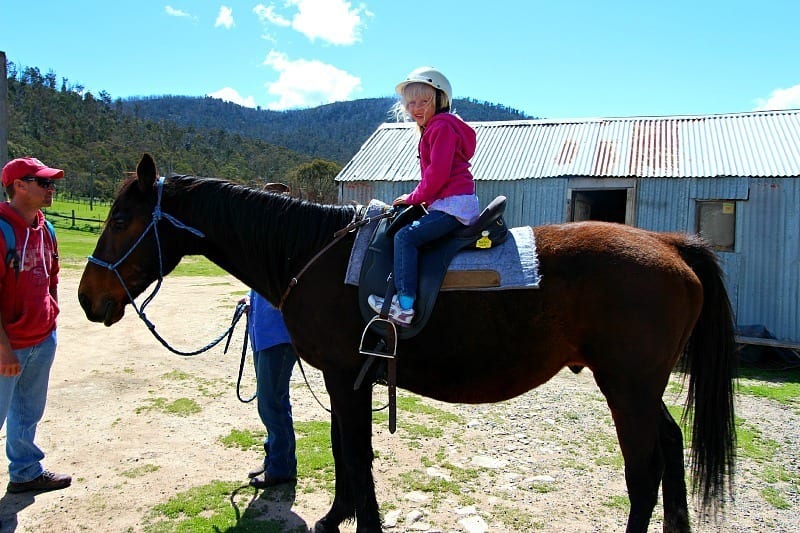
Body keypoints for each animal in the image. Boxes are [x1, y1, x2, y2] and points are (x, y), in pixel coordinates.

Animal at [78, 153, 736, 528]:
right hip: (641, 389)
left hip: (627, 387)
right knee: (670, 447)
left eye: (121, 220)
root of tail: (672, 245)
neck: (313, 253)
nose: (87, 297)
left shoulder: (347, 378)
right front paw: (336, 517)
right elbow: (346, 452)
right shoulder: (348, 379)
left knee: (644, 470)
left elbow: (355, 455)